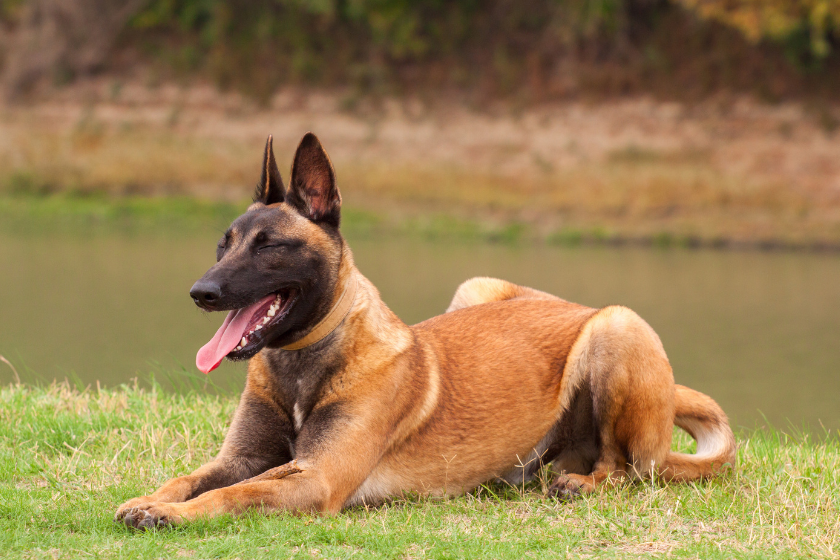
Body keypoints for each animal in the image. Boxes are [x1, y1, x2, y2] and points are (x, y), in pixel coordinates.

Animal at [116, 133, 736, 528]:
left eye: (270, 246)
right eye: (224, 243)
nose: (202, 292)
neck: (305, 361)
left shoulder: (315, 478)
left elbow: (234, 494)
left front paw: (170, 514)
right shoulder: (243, 458)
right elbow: (194, 477)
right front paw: (152, 499)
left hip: (616, 326)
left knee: (626, 469)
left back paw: (583, 482)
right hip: (477, 288)